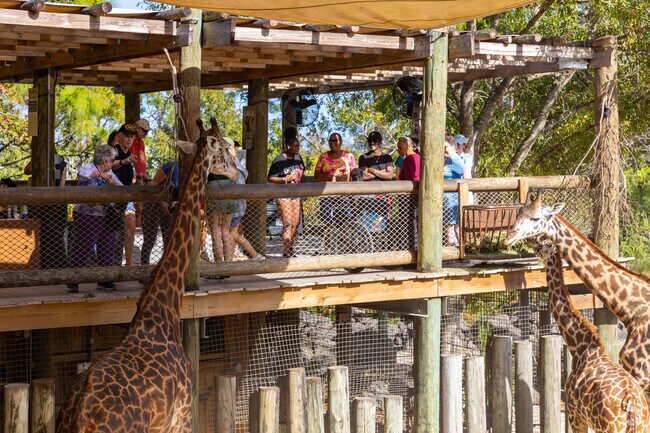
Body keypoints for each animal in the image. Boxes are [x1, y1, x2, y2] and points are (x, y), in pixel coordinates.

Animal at [530, 236, 648, 433]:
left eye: (543, 244)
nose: (531, 244)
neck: (579, 345)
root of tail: (631, 403)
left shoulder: (575, 416)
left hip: (608, 427)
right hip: (641, 426)